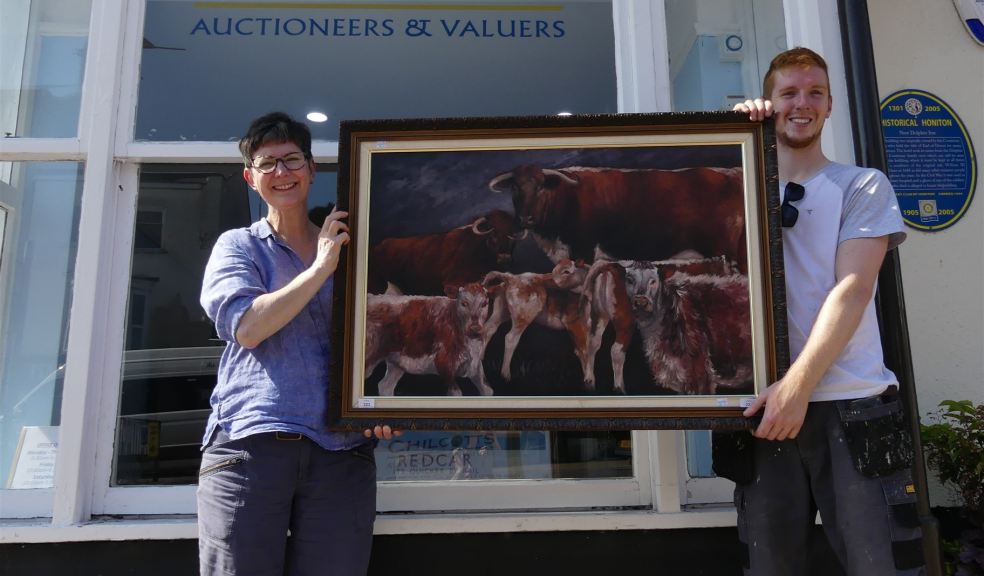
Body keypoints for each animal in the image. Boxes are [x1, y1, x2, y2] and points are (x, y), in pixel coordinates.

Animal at [366, 282, 496, 396]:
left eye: (485, 303)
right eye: (464, 303)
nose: (475, 329)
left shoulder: (475, 365)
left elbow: (488, 391)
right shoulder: (444, 365)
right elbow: (456, 393)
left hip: (397, 362)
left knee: (385, 386)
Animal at [482, 260, 596, 392]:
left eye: (566, 271)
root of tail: (512, 277)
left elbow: (582, 351)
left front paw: (589, 382)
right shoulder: (574, 324)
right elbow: (584, 351)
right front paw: (590, 381)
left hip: (501, 312)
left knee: (487, 330)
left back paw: (481, 361)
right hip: (524, 316)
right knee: (510, 338)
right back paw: (505, 376)